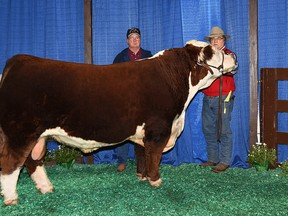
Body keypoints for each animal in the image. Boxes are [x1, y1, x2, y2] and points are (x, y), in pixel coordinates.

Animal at [0, 40, 235, 204]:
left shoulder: (143, 132)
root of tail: (18, 61)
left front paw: (142, 176)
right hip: (20, 133)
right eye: (212, 51)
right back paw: (12, 198)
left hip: (37, 136)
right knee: (11, 164)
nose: (233, 55)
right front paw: (155, 180)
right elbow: (154, 155)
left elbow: (142, 153)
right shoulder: (158, 128)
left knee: (32, 162)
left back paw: (46, 188)